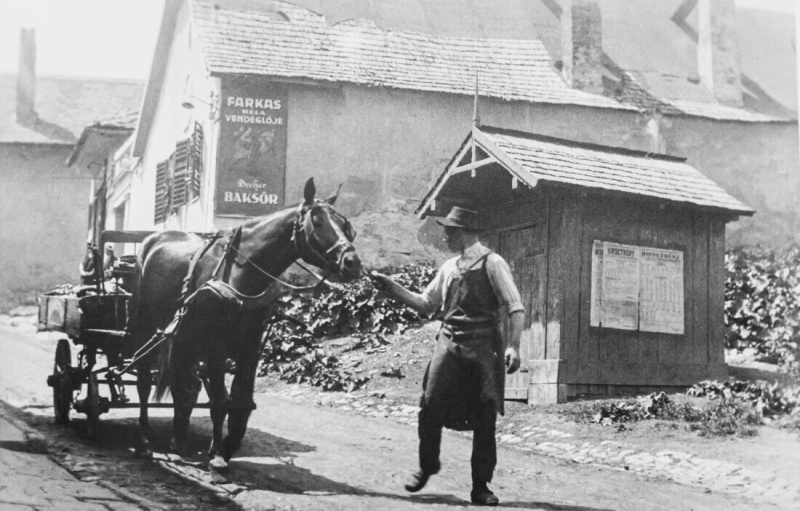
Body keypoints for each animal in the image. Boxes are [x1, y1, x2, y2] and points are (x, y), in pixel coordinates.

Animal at [128, 178, 362, 474]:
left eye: (345, 225)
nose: (352, 263)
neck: (239, 273)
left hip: (184, 337)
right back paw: (144, 441)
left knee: (185, 384)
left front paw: (227, 446)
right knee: (143, 382)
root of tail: (152, 240)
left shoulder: (249, 347)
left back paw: (179, 440)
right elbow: (220, 401)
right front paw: (217, 456)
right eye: (317, 222)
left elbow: (241, 402)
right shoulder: (216, 348)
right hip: (144, 328)